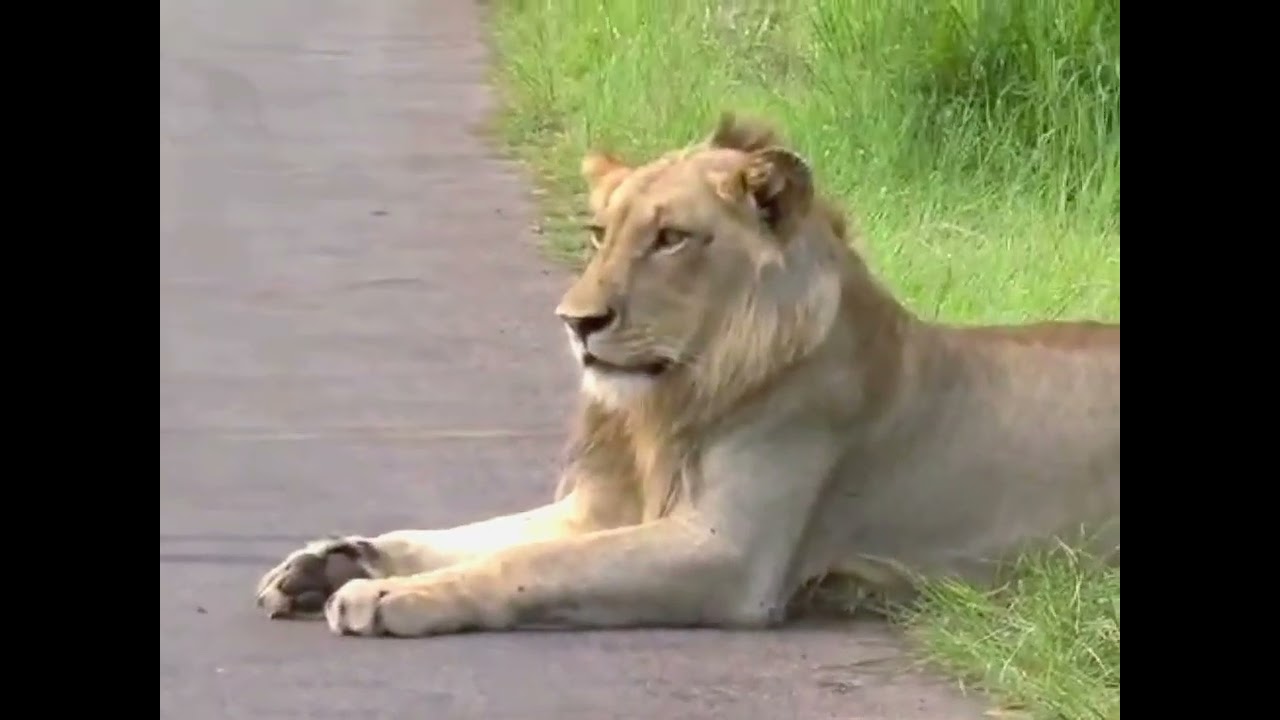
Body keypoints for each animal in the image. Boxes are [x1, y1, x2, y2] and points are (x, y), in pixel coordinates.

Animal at [255, 113, 1120, 637]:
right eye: (599, 234)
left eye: (671, 238)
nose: (576, 322)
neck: (670, 401)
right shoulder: (603, 507)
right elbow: (466, 536)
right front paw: (331, 561)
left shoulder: (731, 554)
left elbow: (529, 563)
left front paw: (387, 597)